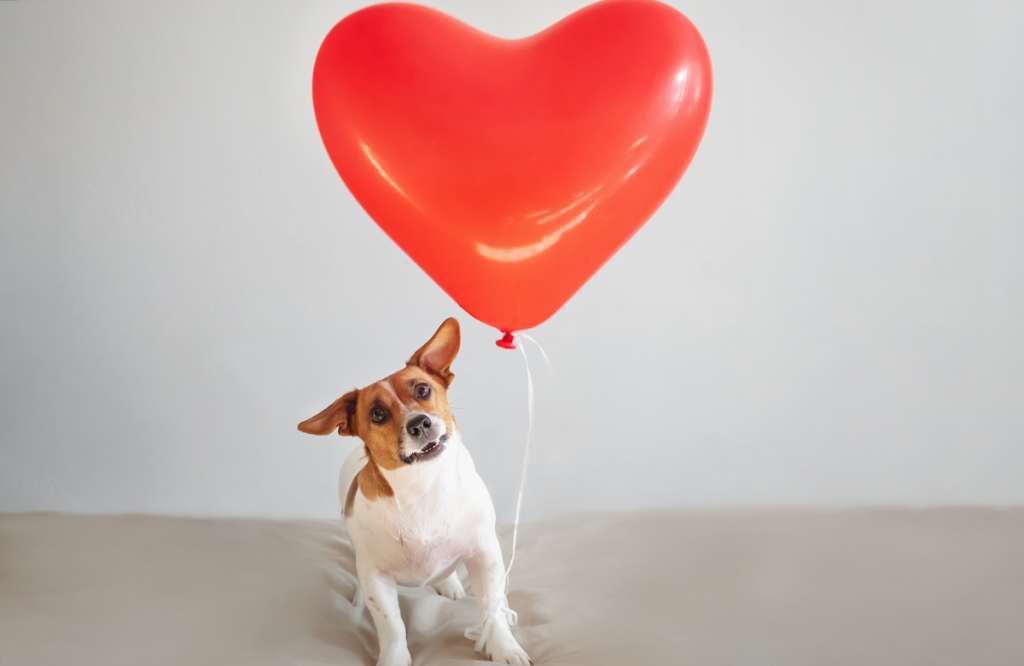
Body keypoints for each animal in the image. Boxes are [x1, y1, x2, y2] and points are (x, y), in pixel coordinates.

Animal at [296, 315, 532, 663]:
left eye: (423, 389)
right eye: (377, 414)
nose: (419, 423)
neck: (423, 485)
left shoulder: (485, 557)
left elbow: (493, 611)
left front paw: (505, 649)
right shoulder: (377, 579)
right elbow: (391, 626)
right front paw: (394, 658)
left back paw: (450, 584)